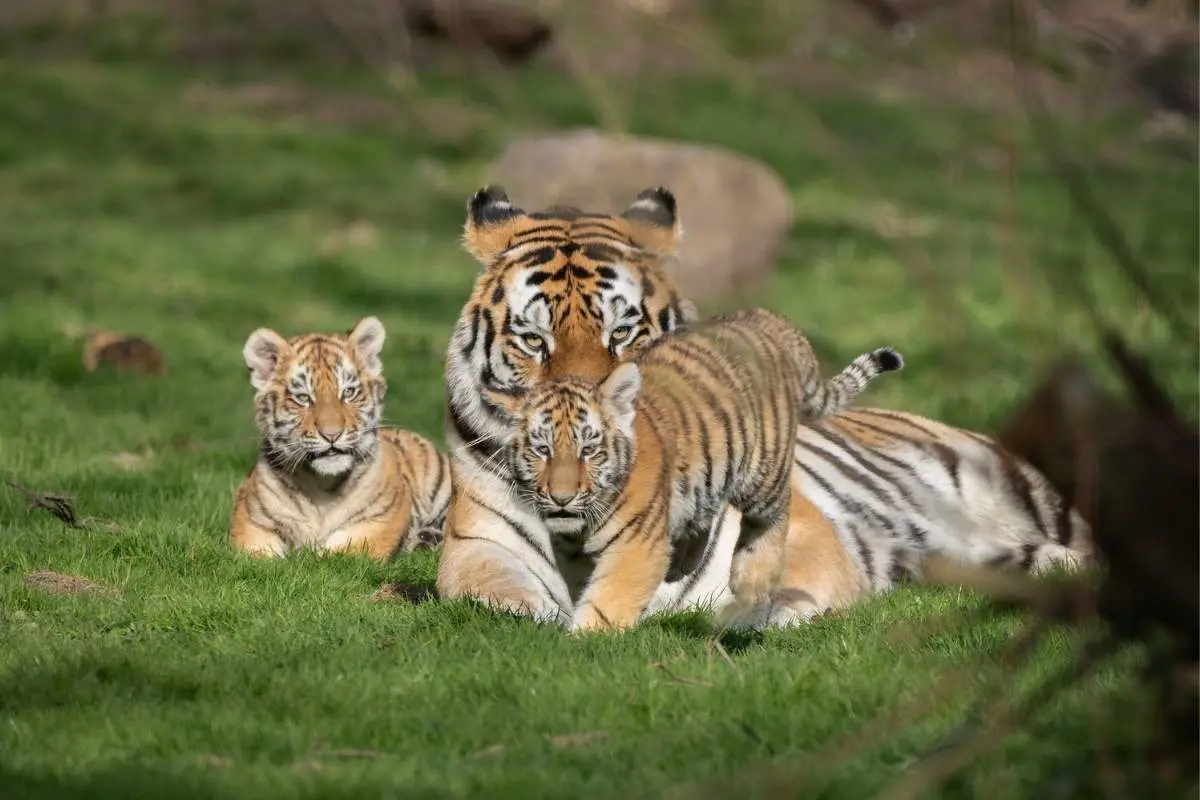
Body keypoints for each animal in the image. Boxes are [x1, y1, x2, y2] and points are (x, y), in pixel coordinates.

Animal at [229, 316, 452, 560]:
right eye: (303, 398)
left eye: (348, 392)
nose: (332, 434)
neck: (322, 488)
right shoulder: (252, 523)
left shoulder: (376, 523)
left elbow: (336, 553)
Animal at [506, 307, 904, 632]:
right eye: (542, 450)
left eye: (589, 450)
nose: (562, 498)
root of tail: (768, 319)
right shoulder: (571, 551)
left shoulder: (635, 543)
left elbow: (609, 597)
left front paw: (586, 640)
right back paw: (682, 565)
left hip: (763, 469)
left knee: (774, 515)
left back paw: (751, 581)